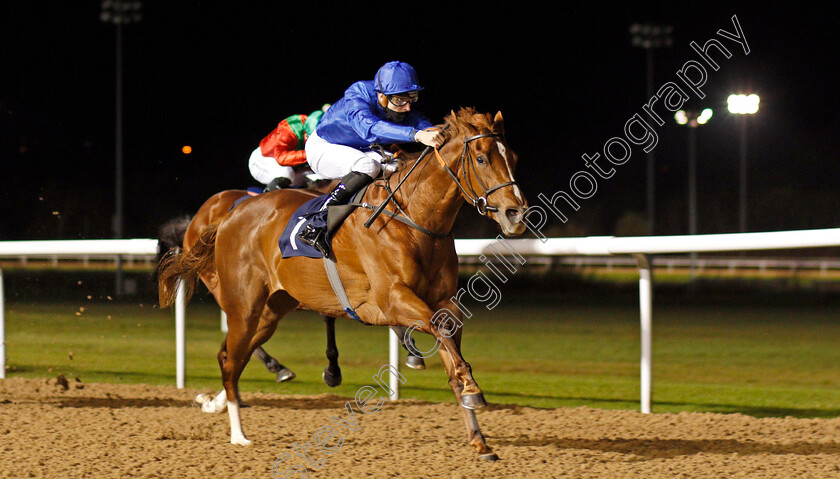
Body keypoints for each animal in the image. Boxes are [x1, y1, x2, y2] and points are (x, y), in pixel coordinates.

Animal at [158, 109, 524, 462]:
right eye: (481, 158)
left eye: (513, 157)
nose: (515, 213)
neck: (414, 218)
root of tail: (228, 214)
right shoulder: (393, 299)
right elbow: (438, 338)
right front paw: (470, 389)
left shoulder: (446, 304)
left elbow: (450, 353)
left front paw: (480, 439)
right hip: (243, 304)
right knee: (231, 358)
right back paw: (238, 434)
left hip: (270, 311)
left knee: (233, 355)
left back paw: (220, 401)